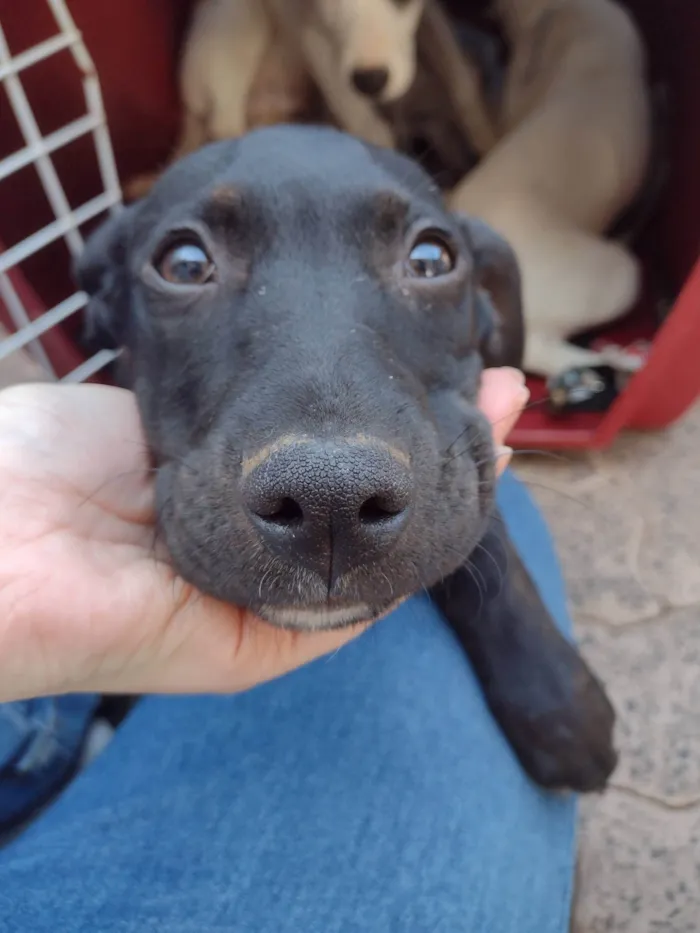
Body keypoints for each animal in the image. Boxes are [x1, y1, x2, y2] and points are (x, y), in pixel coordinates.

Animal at [75, 124, 616, 792]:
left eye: (431, 259)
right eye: (184, 265)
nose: (329, 501)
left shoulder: (459, 461)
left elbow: (489, 545)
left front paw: (558, 699)